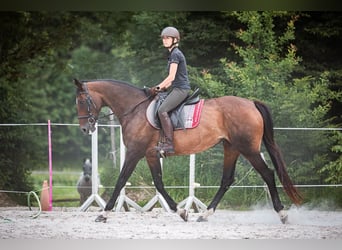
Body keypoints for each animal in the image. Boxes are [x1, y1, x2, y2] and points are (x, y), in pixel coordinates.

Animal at [73, 78, 300, 223]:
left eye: (82, 101)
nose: (85, 128)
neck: (134, 109)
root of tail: (251, 103)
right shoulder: (150, 154)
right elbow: (158, 183)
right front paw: (181, 211)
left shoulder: (135, 153)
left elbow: (121, 180)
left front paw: (104, 214)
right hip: (231, 148)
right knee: (227, 180)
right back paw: (205, 214)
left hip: (248, 149)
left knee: (268, 174)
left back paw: (282, 214)